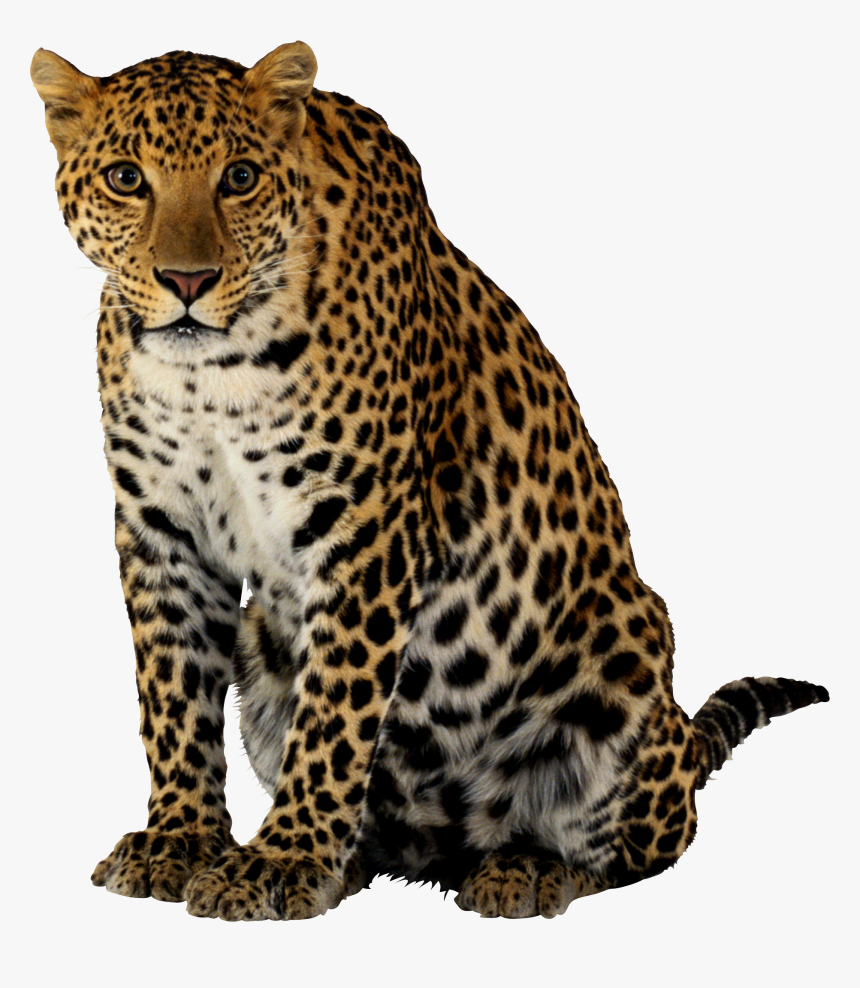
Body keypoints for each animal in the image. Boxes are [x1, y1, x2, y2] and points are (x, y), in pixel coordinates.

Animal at [31, 41, 829, 920]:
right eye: (126, 178)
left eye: (238, 177)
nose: (187, 281)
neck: (209, 373)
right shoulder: (160, 527)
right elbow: (172, 693)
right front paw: (181, 840)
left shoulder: (365, 523)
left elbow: (335, 711)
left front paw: (280, 859)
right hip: (263, 653)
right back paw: (357, 860)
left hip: (626, 660)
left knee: (643, 847)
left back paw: (527, 868)